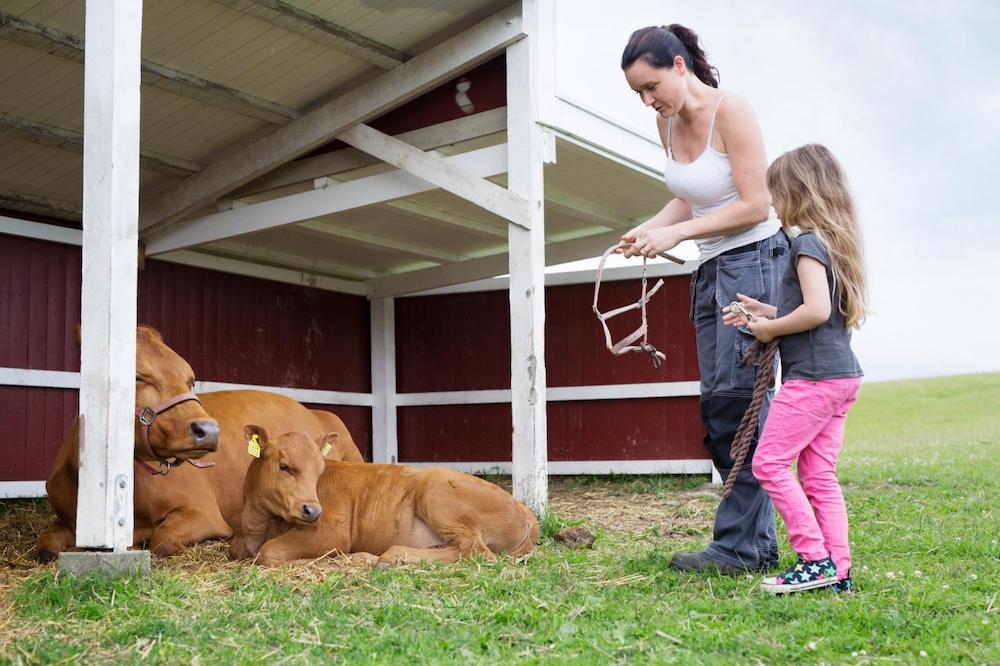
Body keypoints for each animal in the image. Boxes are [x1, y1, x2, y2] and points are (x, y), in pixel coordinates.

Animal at [37, 324, 362, 556]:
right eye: (137, 377)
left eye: (190, 379)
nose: (209, 429)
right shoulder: (66, 520)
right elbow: (45, 545)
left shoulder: (203, 513)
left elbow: (163, 539)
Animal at [232, 426, 540, 564]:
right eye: (283, 466)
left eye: (320, 470)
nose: (313, 510)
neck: (258, 522)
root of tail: (525, 509)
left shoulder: (332, 532)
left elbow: (268, 552)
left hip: (436, 491)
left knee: (474, 549)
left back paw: (387, 557)